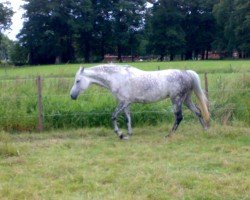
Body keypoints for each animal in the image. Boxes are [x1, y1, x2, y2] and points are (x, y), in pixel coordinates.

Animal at [70, 65, 209, 140]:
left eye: (78, 80)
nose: (72, 96)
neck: (118, 77)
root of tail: (186, 73)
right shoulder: (127, 103)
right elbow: (128, 119)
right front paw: (128, 134)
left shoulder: (123, 102)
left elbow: (113, 116)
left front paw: (120, 135)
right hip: (186, 99)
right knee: (198, 112)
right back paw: (206, 130)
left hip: (177, 99)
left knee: (179, 117)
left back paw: (168, 135)